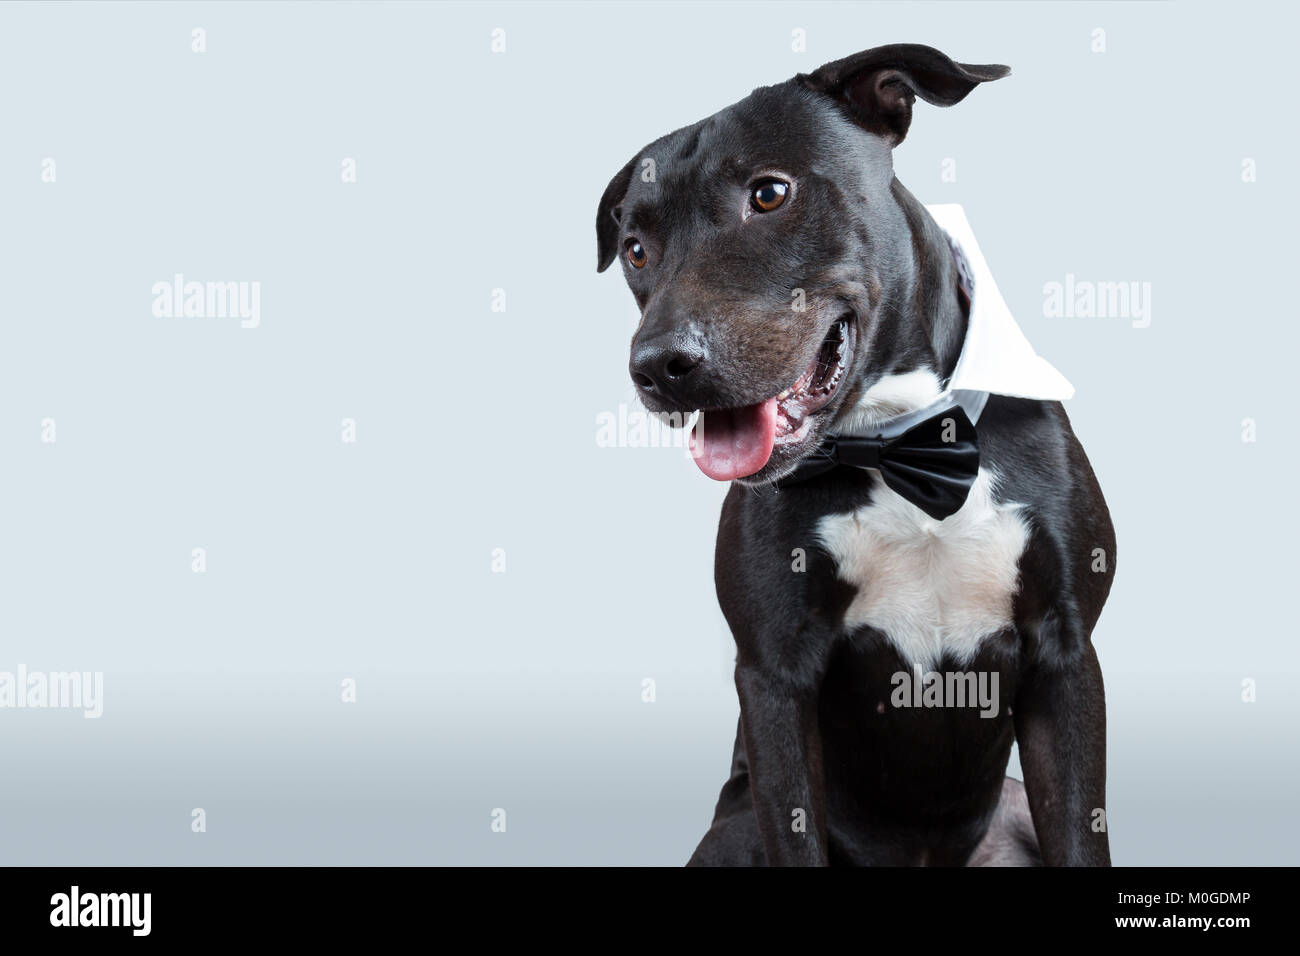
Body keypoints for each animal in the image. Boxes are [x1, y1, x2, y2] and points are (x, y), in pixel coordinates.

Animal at [595, 42, 1112, 868]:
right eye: (636, 251)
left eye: (770, 193)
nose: (658, 366)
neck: (900, 445)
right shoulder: (775, 680)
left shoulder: (1065, 658)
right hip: (736, 830)